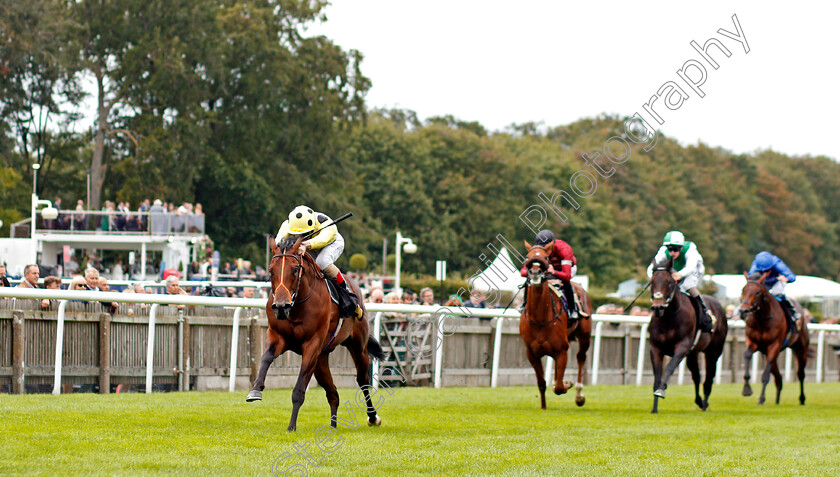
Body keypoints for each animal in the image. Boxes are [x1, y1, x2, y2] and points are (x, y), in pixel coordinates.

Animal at [244, 236, 386, 430]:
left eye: (295, 269)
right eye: (271, 270)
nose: (280, 306)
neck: (296, 307)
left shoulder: (312, 345)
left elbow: (299, 389)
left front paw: (291, 426)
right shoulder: (278, 337)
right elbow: (265, 358)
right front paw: (255, 390)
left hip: (358, 346)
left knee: (362, 380)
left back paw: (372, 417)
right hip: (321, 359)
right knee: (333, 393)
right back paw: (333, 426)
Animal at [520, 242, 592, 410]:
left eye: (546, 257)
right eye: (527, 257)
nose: (535, 272)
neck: (540, 318)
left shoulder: (562, 350)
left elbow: (559, 387)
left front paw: (567, 384)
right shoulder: (531, 353)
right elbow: (541, 383)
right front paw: (543, 406)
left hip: (585, 336)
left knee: (581, 357)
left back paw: (579, 395)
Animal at [648, 260, 724, 412]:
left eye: (669, 282)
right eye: (652, 282)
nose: (658, 308)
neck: (668, 318)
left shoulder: (682, 346)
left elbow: (670, 367)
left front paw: (661, 390)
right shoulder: (655, 348)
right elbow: (657, 376)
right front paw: (654, 408)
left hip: (713, 352)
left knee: (708, 378)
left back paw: (704, 404)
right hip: (693, 354)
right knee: (696, 376)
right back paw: (699, 401)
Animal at [740, 272, 812, 406]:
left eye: (758, 292)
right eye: (743, 290)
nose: (744, 310)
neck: (762, 319)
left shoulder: (774, 345)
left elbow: (765, 376)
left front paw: (761, 398)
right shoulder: (753, 342)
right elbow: (747, 355)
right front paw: (747, 389)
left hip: (800, 347)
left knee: (800, 374)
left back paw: (802, 399)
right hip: (768, 352)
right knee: (778, 377)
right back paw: (777, 400)